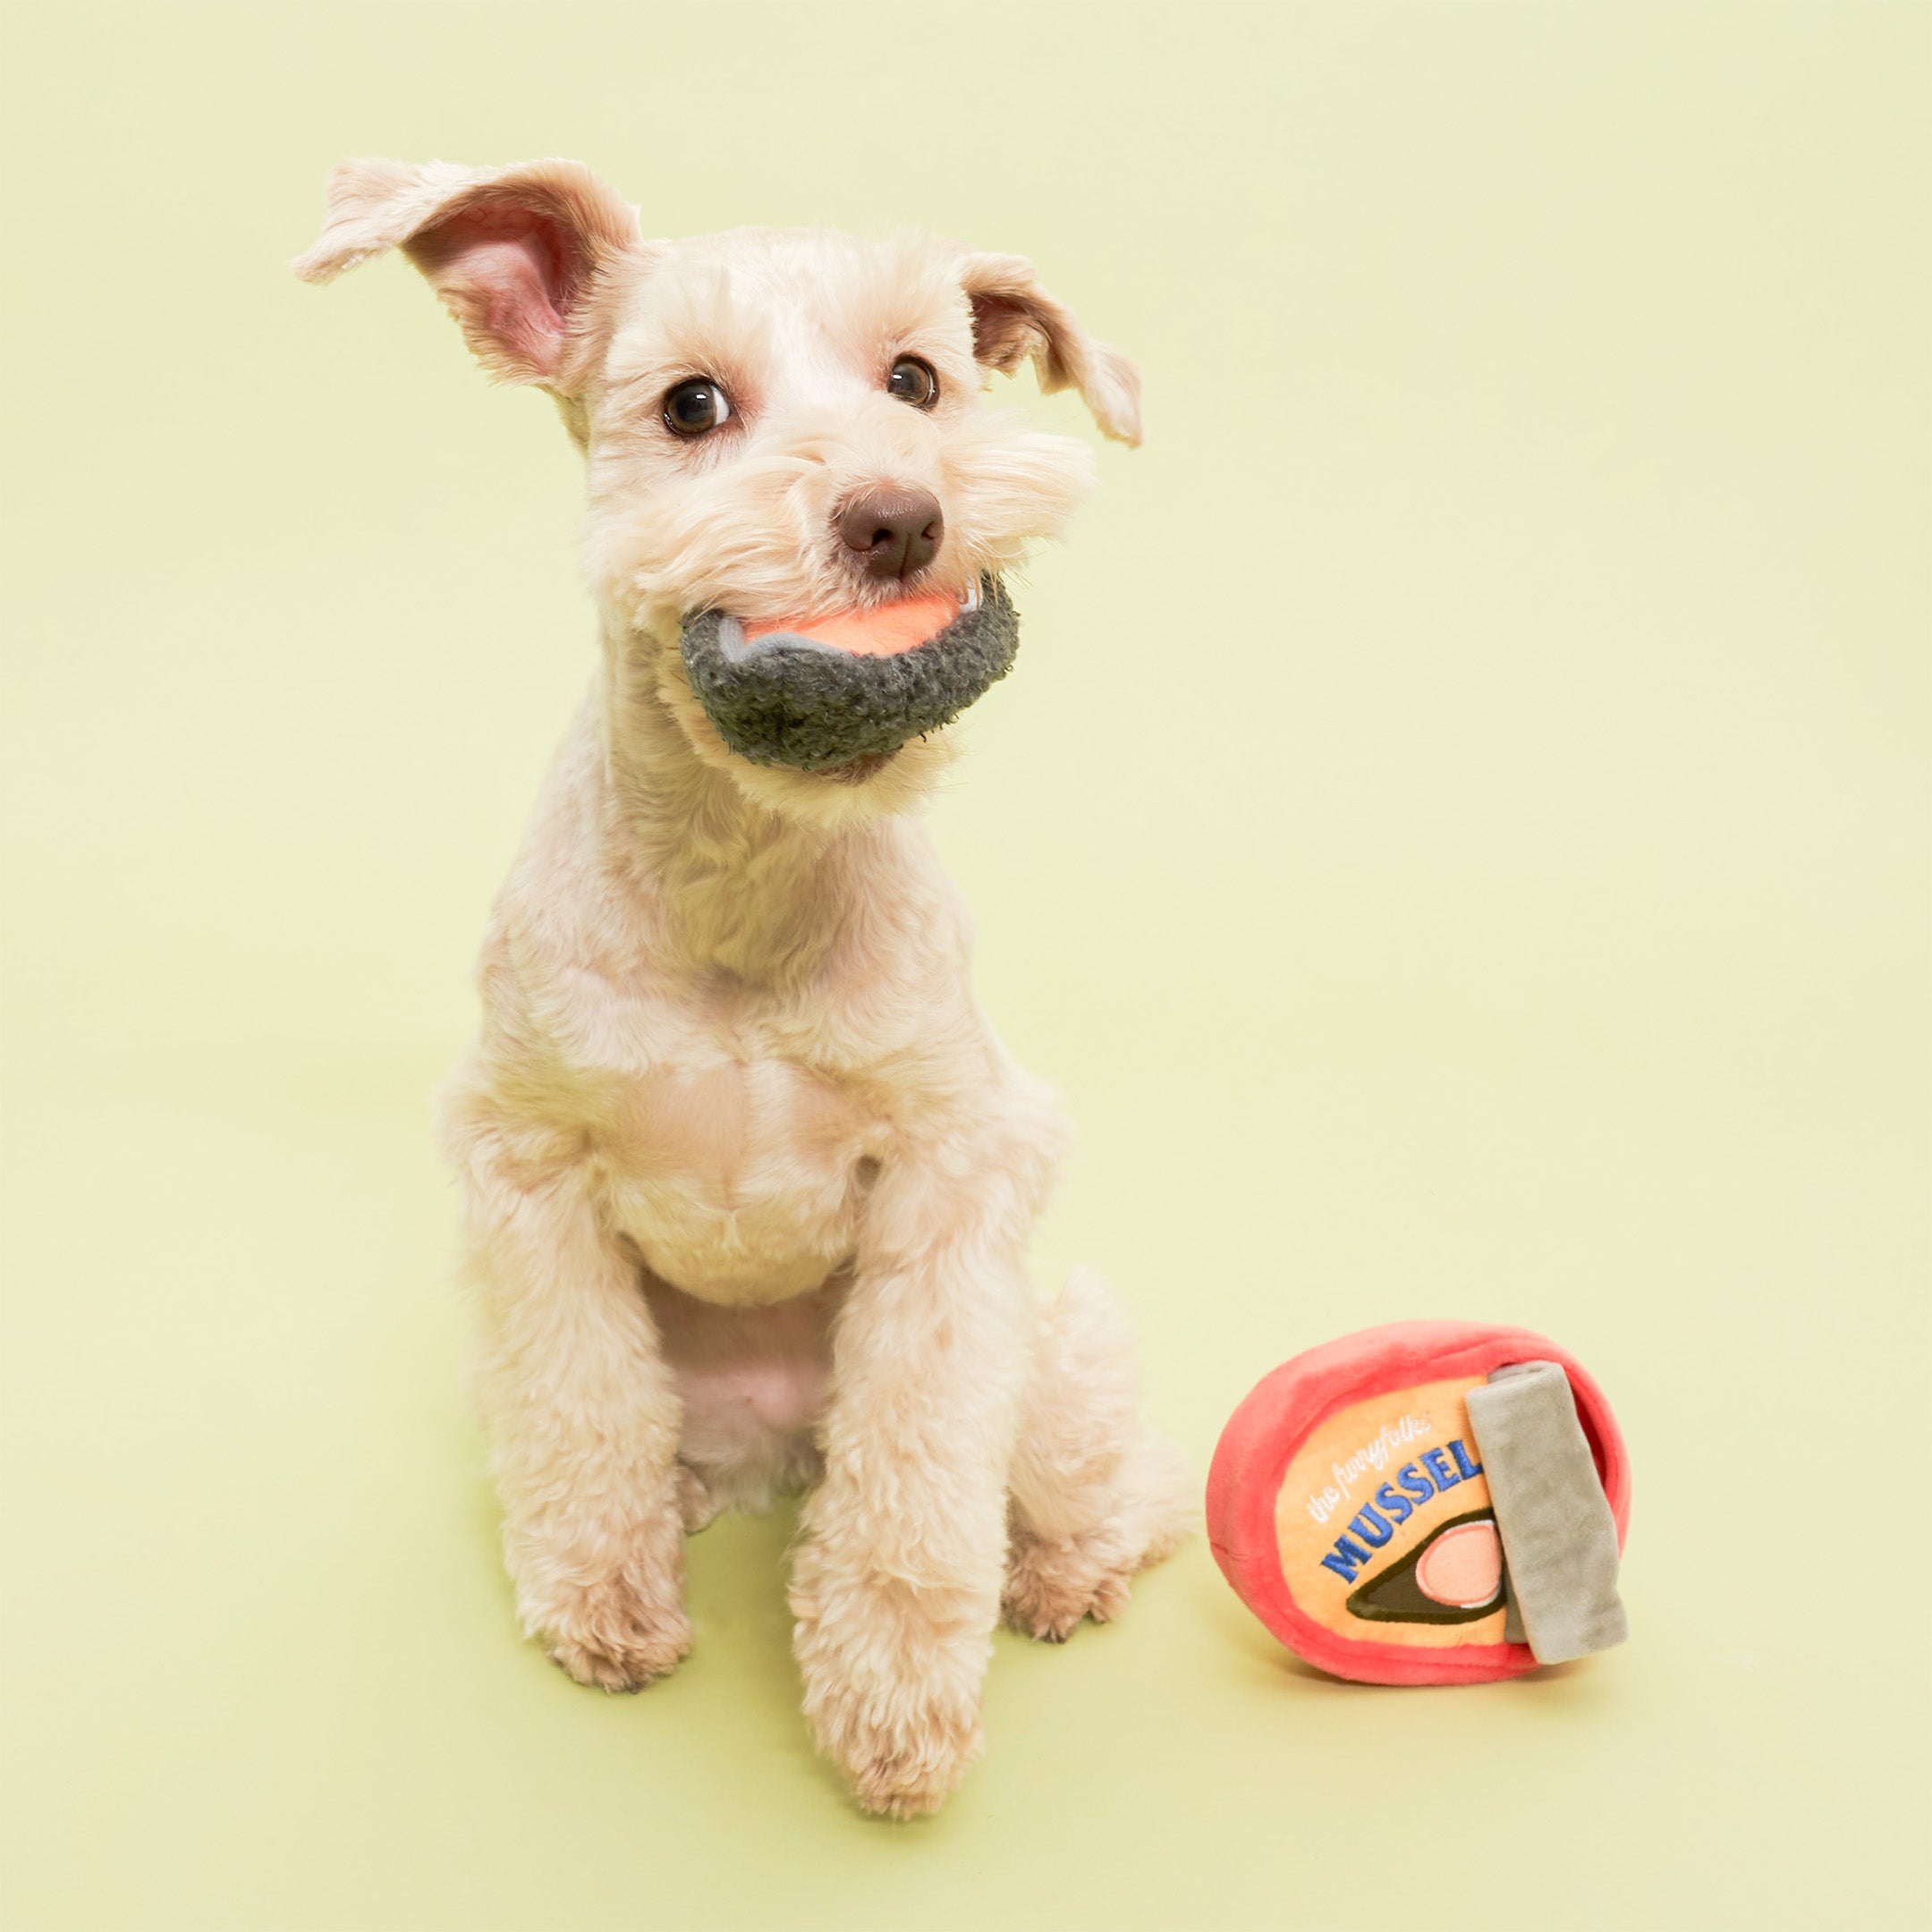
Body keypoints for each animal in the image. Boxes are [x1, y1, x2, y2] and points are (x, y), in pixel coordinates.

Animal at [297, 162, 1190, 1808]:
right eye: (692, 403)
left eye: (919, 380)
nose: (898, 516)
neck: (740, 882)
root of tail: (779, 1445)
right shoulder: (527, 1174)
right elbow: (578, 1413)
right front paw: (603, 1599)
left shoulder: (960, 1173)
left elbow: (916, 1481)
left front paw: (895, 1705)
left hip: (1048, 1360)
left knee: (1112, 1477)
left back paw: (1062, 1570)